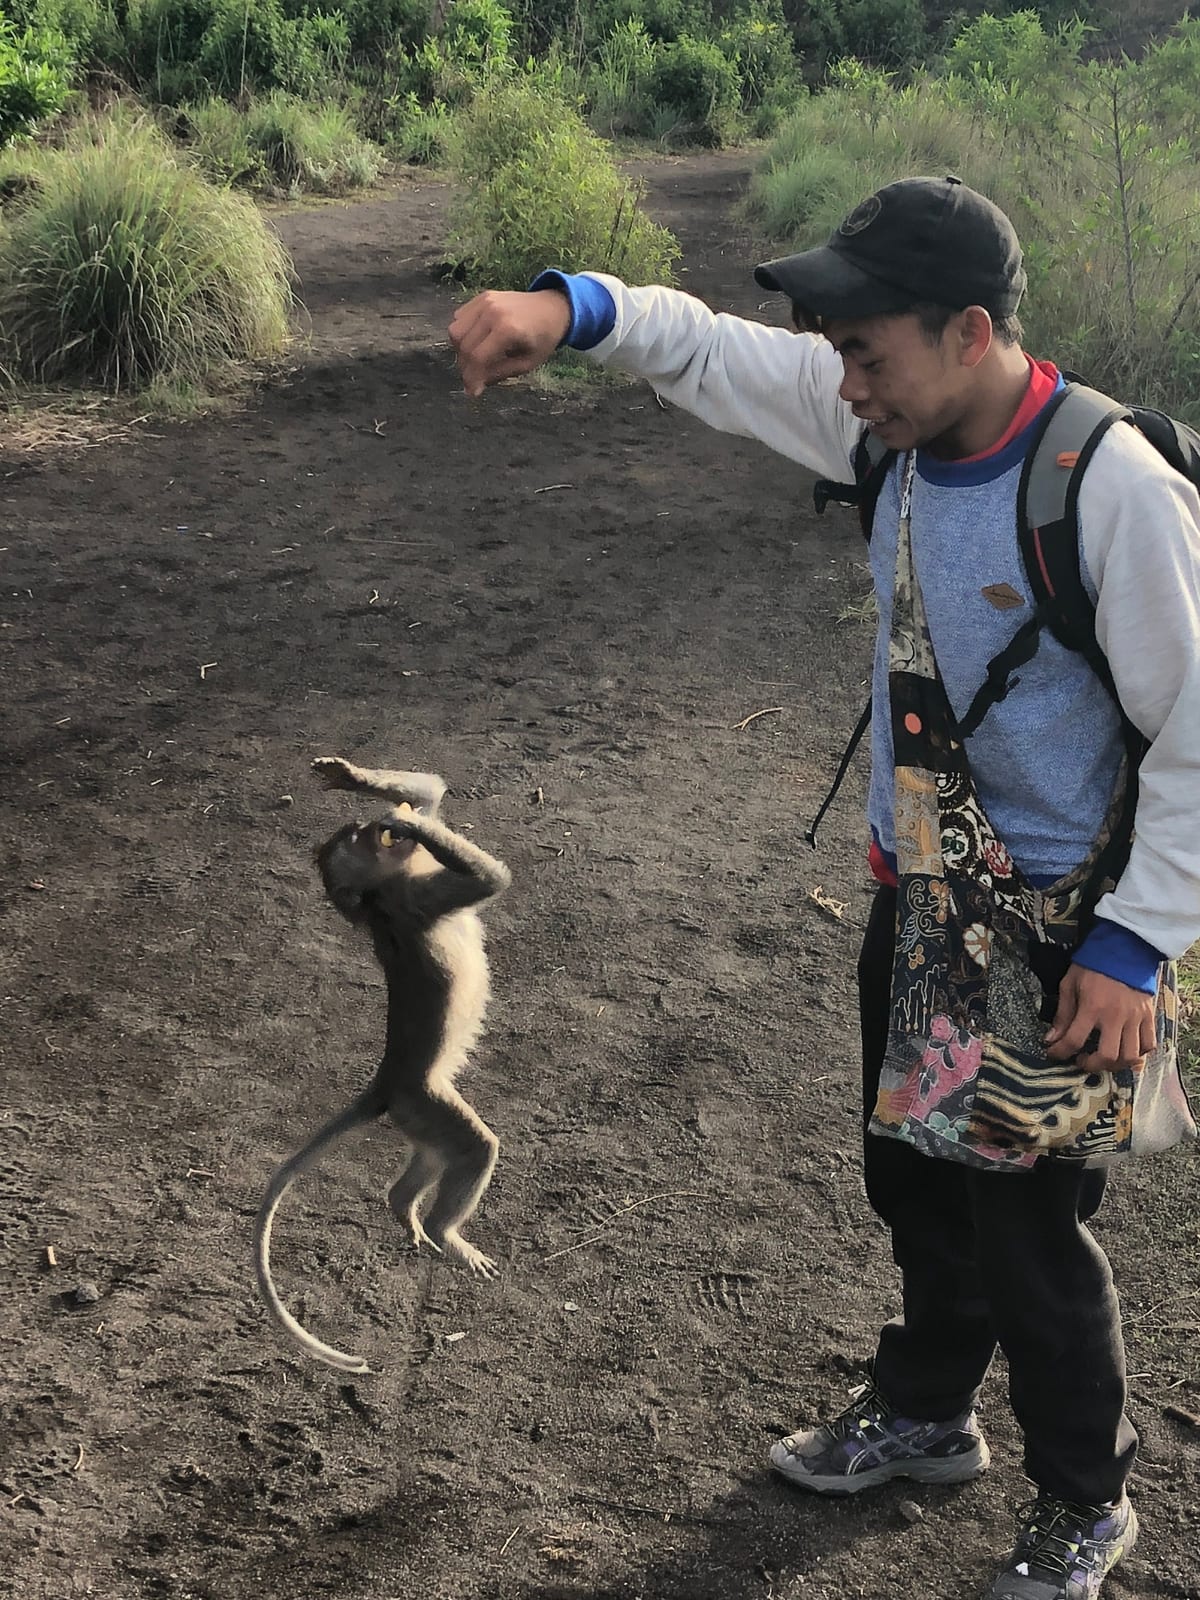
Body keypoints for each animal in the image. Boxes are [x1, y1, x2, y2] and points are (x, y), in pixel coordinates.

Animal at [254, 756, 511, 1373]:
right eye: (352, 842)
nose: (366, 828)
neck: (383, 892)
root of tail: (386, 1084)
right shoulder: (415, 897)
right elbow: (489, 881)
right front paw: (410, 822)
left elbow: (433, 793)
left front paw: (359, 783)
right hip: (425, 1099)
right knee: (474, 1147)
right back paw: (445, 1232)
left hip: (417, 1115)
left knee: (433, 1155)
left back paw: (403, 1207)